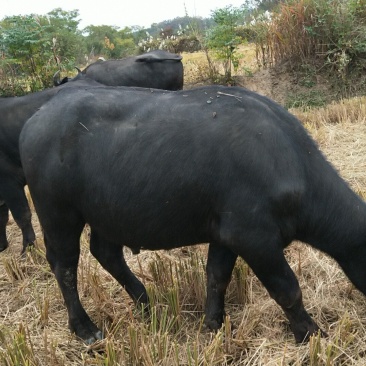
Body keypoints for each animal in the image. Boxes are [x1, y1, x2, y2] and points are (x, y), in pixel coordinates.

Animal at [19, 84, 366, 344]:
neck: (289, 163)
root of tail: (34, 121)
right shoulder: (254, 238)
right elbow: (288, 289)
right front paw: (310, 333)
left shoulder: (226, 235)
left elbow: (217, 276)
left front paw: (214, 323)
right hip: (59, 215)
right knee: (64, 266)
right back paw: (85, 328)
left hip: (107, 213)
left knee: (106, 253)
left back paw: (145, 303)